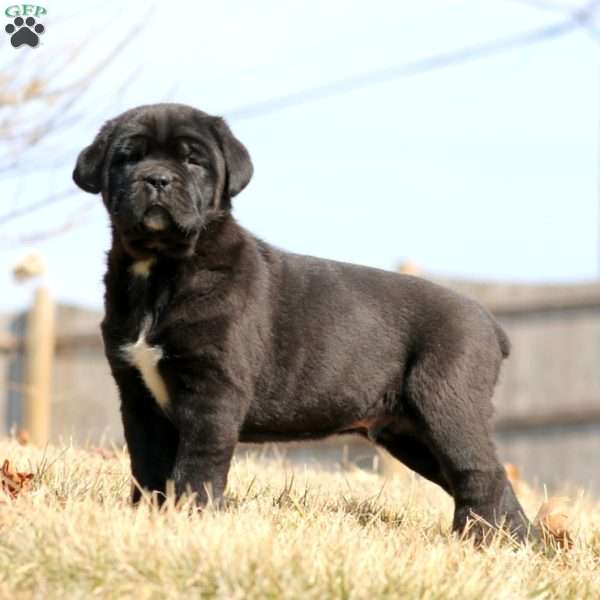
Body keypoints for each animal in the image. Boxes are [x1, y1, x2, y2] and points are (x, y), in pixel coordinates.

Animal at [74, 104, 528, 544]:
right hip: (411, 435)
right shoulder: (138, 393)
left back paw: (477, 540)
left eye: (192, 160)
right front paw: (147, 517)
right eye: (129, 157)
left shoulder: (212, 391)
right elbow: (147, 463)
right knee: (494, 484)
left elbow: (198, 464)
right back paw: (517, 545)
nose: (157, 178)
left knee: (479, 474)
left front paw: (191, 517)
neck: (161, 267)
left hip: (447, 408)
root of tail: (490, 324)